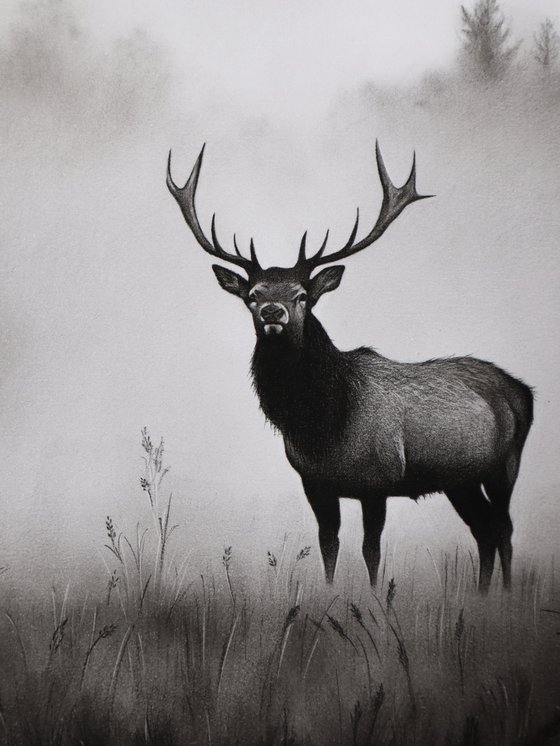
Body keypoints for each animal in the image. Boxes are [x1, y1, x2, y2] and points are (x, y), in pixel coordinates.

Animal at [166, 142, 533, 592]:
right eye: (252, 295)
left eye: (302, 295)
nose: (273, 311)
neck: (322, 425)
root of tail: (524, 390)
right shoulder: (314, 482)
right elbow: (329, 544)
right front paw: (328, 594)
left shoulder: (379, 480)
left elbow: (370, 550)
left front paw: (374, 599)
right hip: (459, 478)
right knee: (483, 529)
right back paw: (481, 596)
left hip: (505, 462)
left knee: (504, 527)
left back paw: (505, 595)